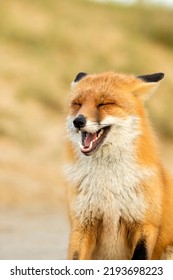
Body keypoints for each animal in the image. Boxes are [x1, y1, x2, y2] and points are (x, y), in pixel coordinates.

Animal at [65, 71, 173, 260]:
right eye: (77, 104)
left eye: (104, 103)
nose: (78, 121)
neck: (109, 188)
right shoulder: (82, 224)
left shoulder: (146, 223)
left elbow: (140, 256)